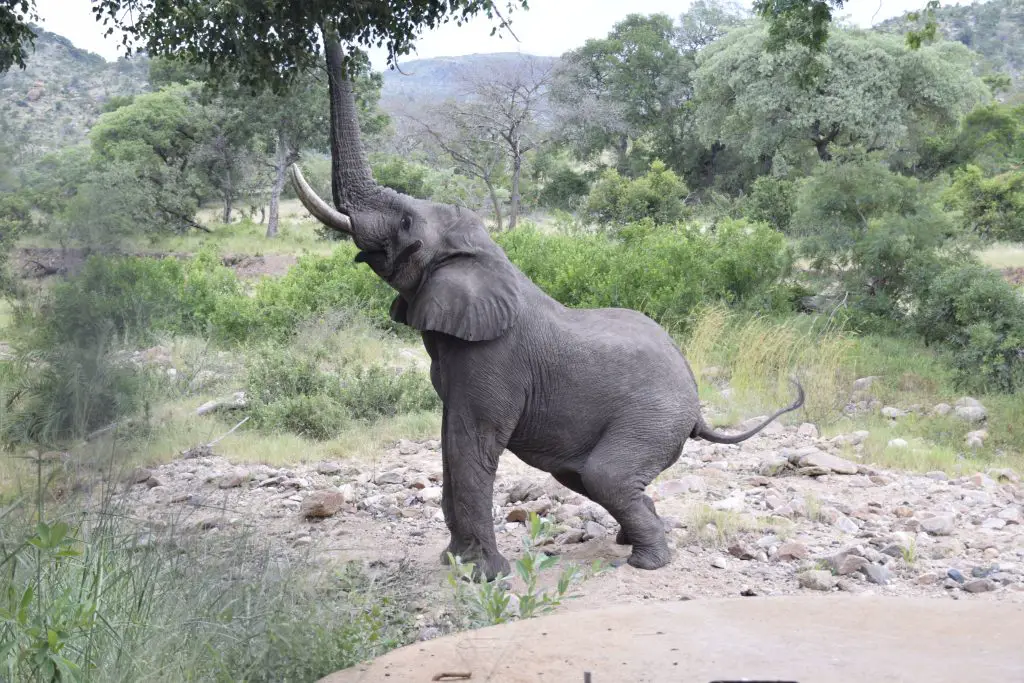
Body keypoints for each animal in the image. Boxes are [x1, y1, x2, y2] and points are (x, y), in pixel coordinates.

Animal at [292, 62, 802, 581]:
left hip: (653, 417)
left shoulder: (493, 360)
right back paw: (632, 541)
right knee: (587, 477)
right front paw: (455, 563)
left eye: (406, 224)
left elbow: (470, 444)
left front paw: (484, 576)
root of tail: (698, 407)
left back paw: (647, 562)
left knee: (606, 477)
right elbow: (450, 442)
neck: (486, 253)